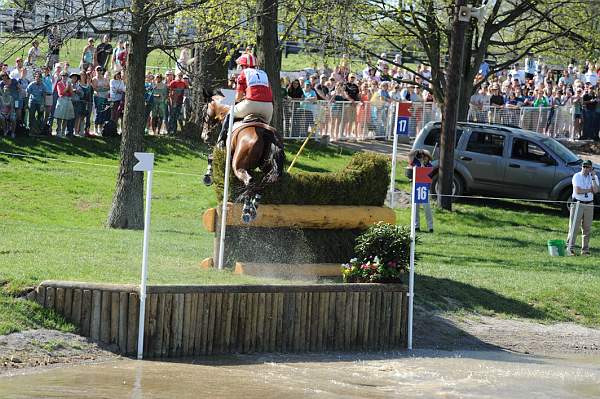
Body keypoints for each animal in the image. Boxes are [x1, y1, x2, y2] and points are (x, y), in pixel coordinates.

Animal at [202, 88, 286, 223]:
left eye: (204, 111)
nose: (204, 136)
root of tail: (266, 132)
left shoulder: (222, 151)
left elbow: (211, 156)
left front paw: (207, 178)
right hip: (267, 167)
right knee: (262, 184)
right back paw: (253, 209)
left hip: (238, 166)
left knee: (250, 181)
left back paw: (246, 211)